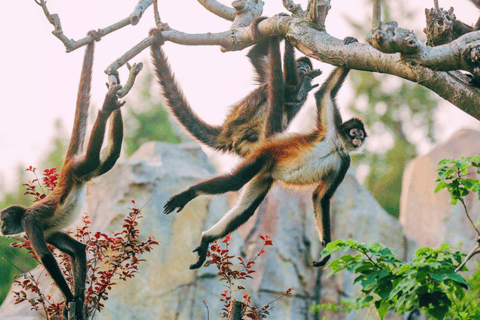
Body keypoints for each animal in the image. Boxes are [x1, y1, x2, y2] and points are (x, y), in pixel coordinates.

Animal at [0, 30, 125, 320]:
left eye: (3, 219)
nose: (0, 228)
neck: (25, 212)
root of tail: (67, 167)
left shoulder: (29, 223)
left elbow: (47, 259)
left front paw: (69, 296)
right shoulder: (48, 231)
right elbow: (78, 250)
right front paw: (77, 300)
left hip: (81, 167)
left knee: (97, 149)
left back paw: (106, 106)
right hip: (90, 170)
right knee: (112, 155)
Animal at [150, 17, 322, 158]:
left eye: (307, 67)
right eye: (301, 65)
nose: (304, 69)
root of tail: (227, 131)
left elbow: (293, 98)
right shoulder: (269, 73)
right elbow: (255, 55)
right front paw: (280, 32)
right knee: (267, 89)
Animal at [163, 35, 366, 270]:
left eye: (362, 134)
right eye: (354, 132)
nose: (359, 139)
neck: (336, 146)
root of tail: (270, 140)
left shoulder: (344, 161)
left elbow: (320, 197)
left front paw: (326, 250)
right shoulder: (331, 129)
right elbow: (324, 93)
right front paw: (350, 43)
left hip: (266, 175)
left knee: (245, 209)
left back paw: (206, 240)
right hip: (264, 157)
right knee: (235, 181)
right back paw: (187, 196)